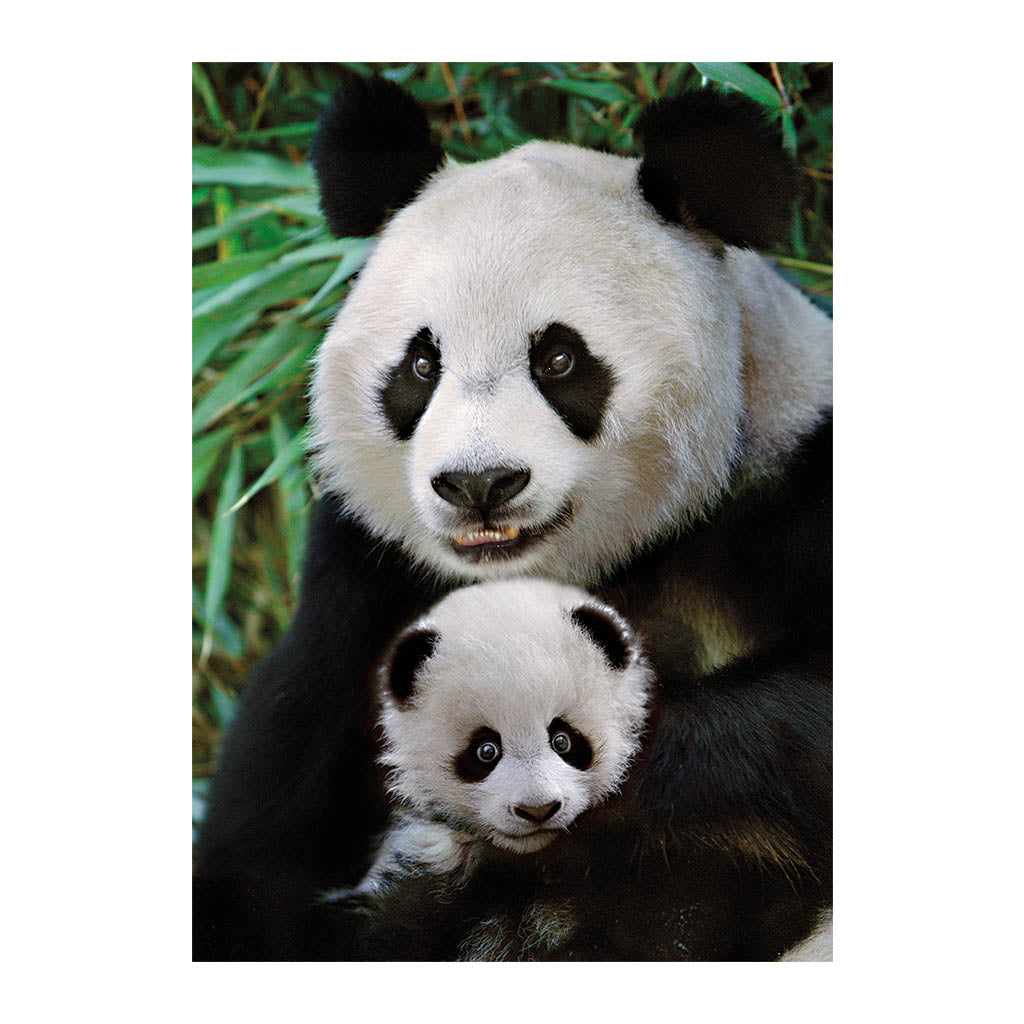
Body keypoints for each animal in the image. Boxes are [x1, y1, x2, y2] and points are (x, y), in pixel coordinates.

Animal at [193, 75, 832, 961]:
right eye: (421, 364)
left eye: (558, 359)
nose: (479, 483)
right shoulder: (367, 576)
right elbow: (266, 827)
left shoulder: (793, 490)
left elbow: (801, 719)